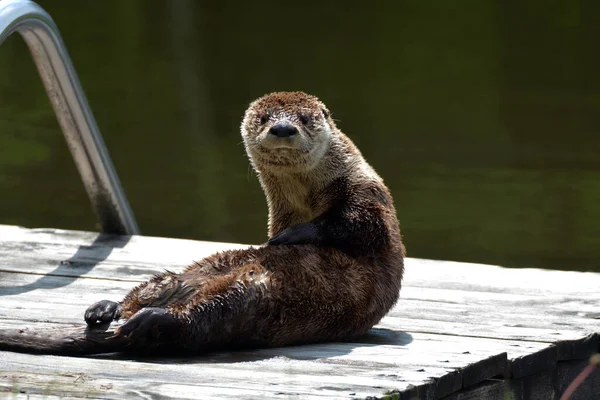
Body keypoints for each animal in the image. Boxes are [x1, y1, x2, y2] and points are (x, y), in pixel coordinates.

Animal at [0, 91, 406, 356]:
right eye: (264, 119)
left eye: (304, 119)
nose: (283, 129)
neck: (305, 198)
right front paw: (281, 239)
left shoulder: (369, 197)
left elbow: (357, 225)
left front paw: (291, 238)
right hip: (199, 268)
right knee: (154, 290)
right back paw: (106, 308)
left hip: (249, 298)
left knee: (197, 322)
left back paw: (147, 320)